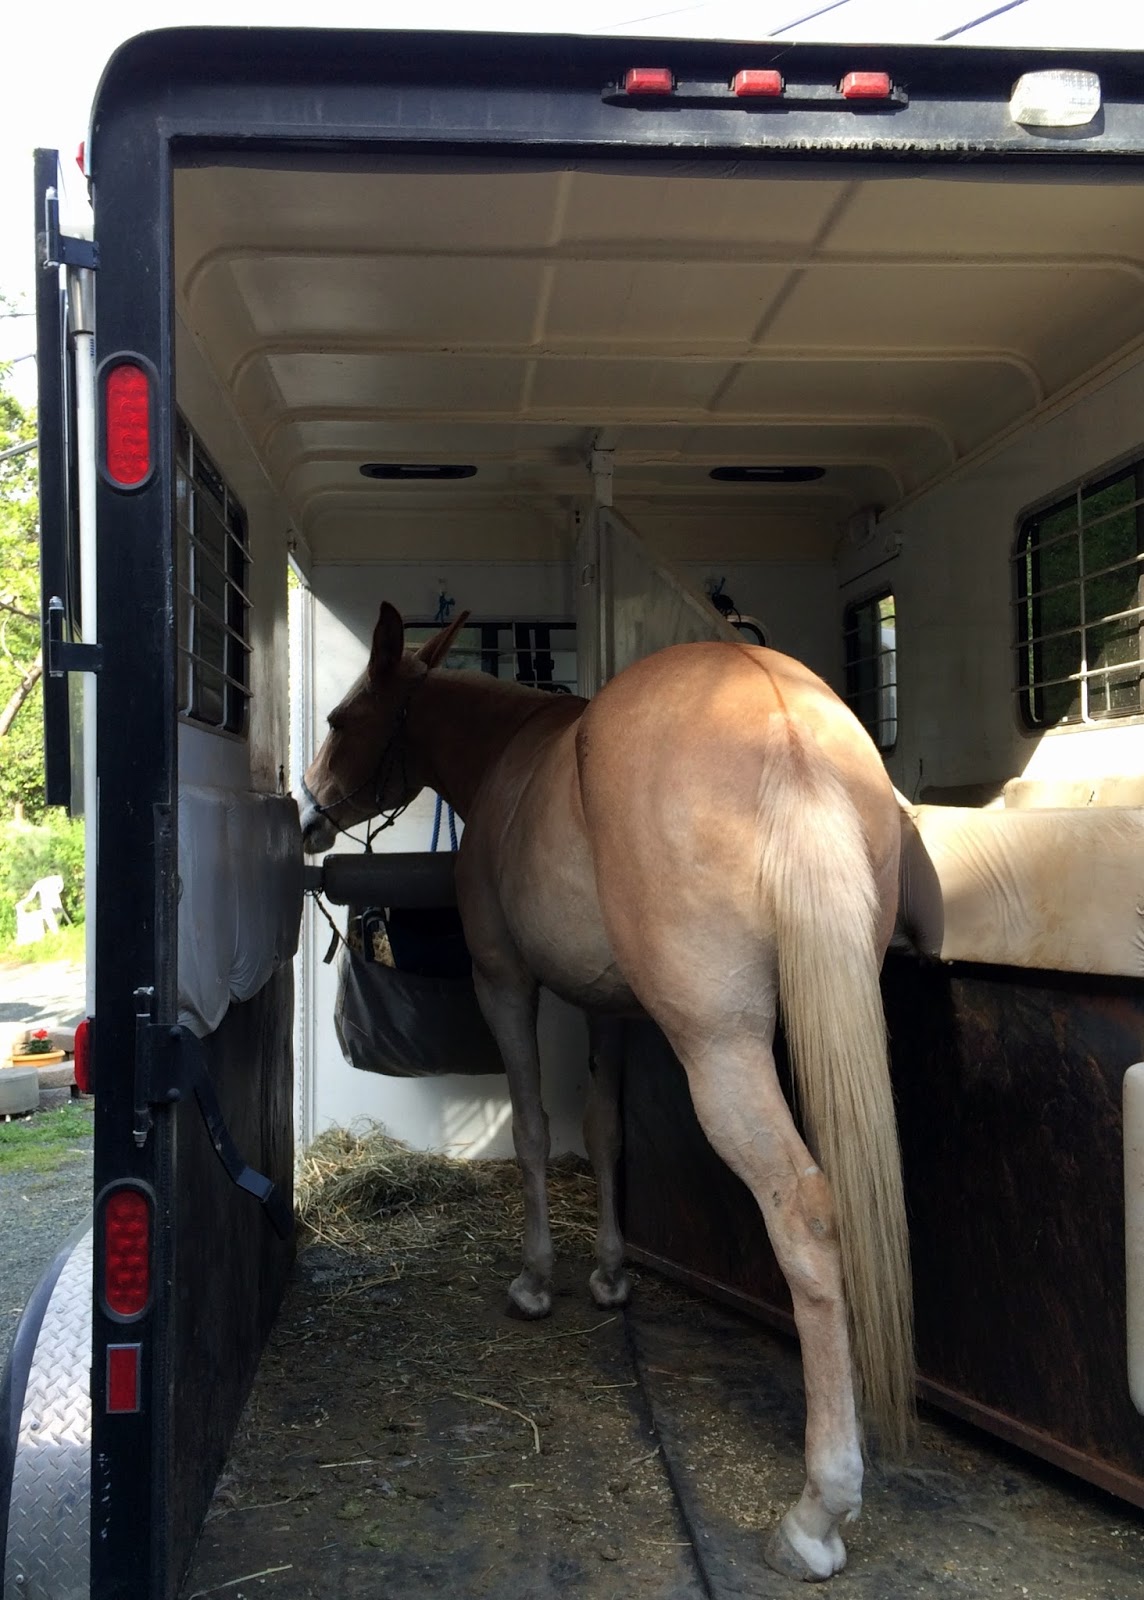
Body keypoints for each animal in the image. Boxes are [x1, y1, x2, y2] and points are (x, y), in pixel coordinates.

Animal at [300, 601, 914, 1582]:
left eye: (340, 718)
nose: (311, 807)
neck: (512, 756)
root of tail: (779, 714)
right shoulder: (610, 1009)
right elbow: (606, 1127)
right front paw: (613, 1272)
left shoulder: (506, 983)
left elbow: (536, 1127)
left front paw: (537, 1279)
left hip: (721, 1050)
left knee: (808, 1213)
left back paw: (819, 1510)